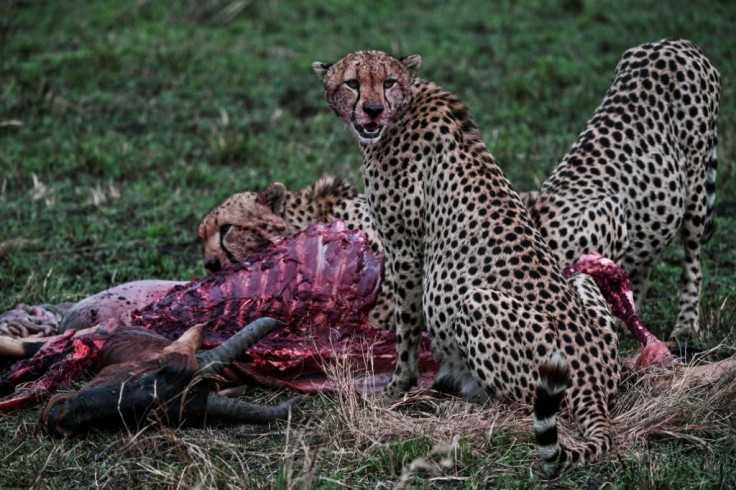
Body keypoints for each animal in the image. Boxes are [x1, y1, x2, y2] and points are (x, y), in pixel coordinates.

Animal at [314, 48, 620, 470]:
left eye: (388, 82)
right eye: (352, 83)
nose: (373, 110)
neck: (404, 108)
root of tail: (594, 380)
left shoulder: (405, 251)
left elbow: (406, 331)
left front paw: (396, 389)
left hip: (476, 303)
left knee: (523, 408)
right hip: (582, 280)